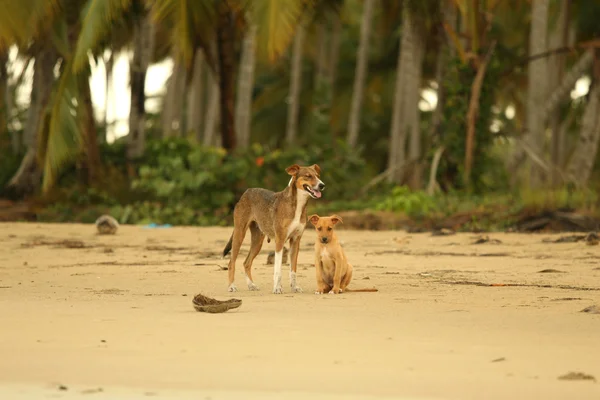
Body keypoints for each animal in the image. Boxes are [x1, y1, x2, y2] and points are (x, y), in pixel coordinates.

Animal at [223, 163, 324, 294]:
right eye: (308, 176)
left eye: (318, 176)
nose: (322, 185)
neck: (297, 204)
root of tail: (246, 192)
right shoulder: (280, 241)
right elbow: (278, 270)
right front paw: (277, 288)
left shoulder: (295, 241)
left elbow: (293, 270)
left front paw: (294, 287)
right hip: (239, 235)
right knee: (231, 262)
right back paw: (231, 286)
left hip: (257, 242)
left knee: (246, 263)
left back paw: (251, 285)